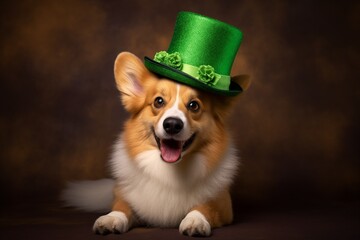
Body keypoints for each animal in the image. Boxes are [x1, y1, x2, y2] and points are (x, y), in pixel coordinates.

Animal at [63, 51, 250, 237]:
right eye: (158, 101)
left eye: (194, 105)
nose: (172, 124)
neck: (169, 172)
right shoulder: (126, 196)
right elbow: (122, 207)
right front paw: (111, 218)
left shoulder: (222, 204)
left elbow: (203, 207)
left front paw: (195, 221)